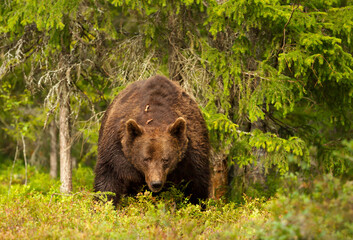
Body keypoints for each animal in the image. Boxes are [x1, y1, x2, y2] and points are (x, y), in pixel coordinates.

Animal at [93, 74, 209, 204]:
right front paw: (105, 202)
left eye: (166, 159)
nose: (156, 183)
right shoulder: (116, 148)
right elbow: (108, 181)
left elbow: (197, 186)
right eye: (146, 159)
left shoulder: (192, 153)